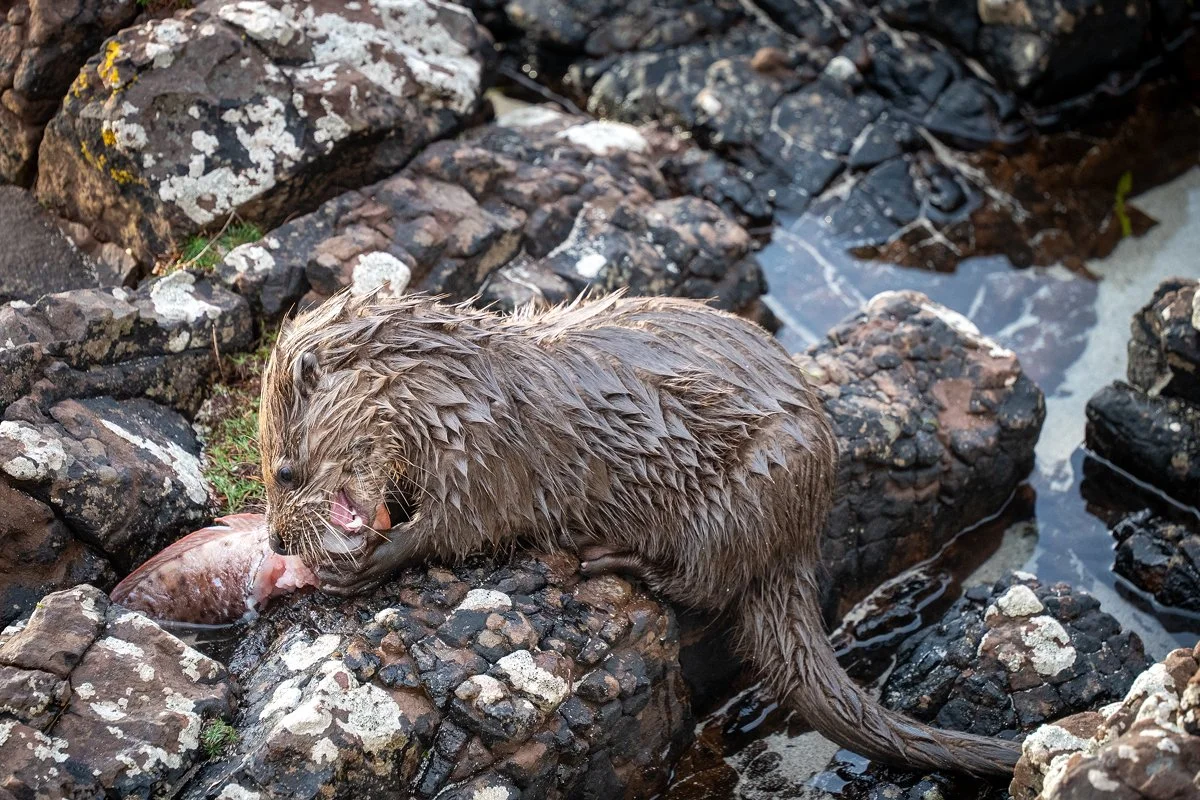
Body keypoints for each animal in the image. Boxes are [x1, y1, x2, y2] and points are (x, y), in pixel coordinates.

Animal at [258, 289, 1020, 777]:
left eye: (286, 471)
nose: (276, 543)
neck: (450, 393)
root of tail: (802, 526)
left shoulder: (484, 455)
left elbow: (461, 529)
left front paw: (364, 562)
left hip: (744, 493)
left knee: (707, 586)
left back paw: (612, 561)